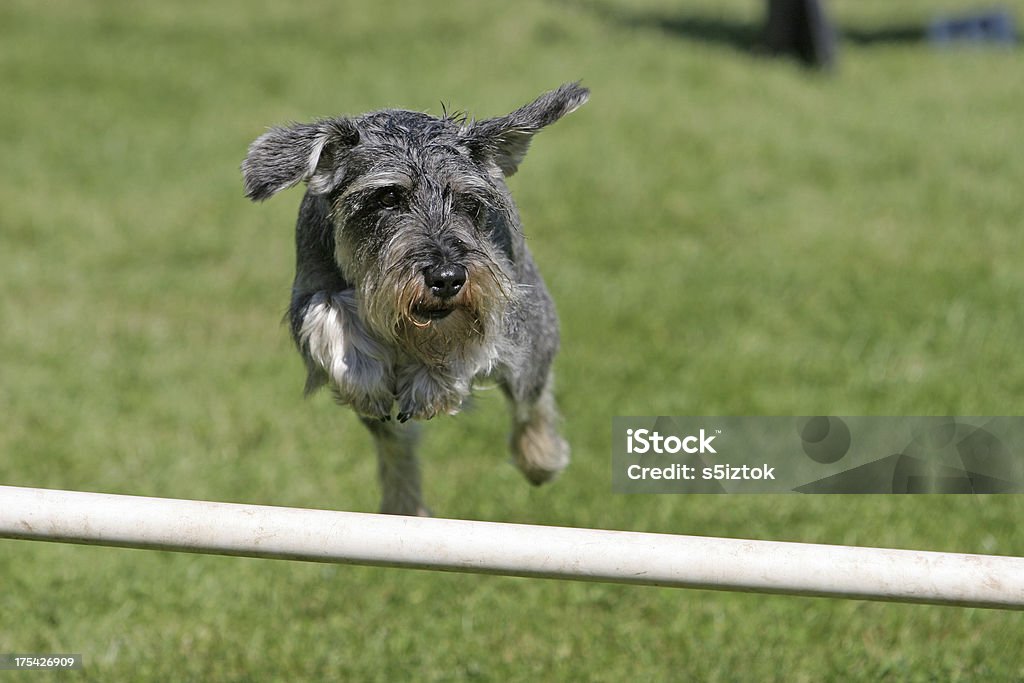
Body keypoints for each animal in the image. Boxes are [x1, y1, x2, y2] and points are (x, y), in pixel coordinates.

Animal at [240, 82, 589, 516]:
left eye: (468, 202)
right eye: (388, 197)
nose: (447, 279)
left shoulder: (502, 302)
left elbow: (475, 340)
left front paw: (433, 382)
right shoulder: (307, 291)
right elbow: (328, 311)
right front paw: (364, 373)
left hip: (534, 337)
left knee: (532, 396)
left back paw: (541, 458)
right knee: (396, 447)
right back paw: (404, 505)